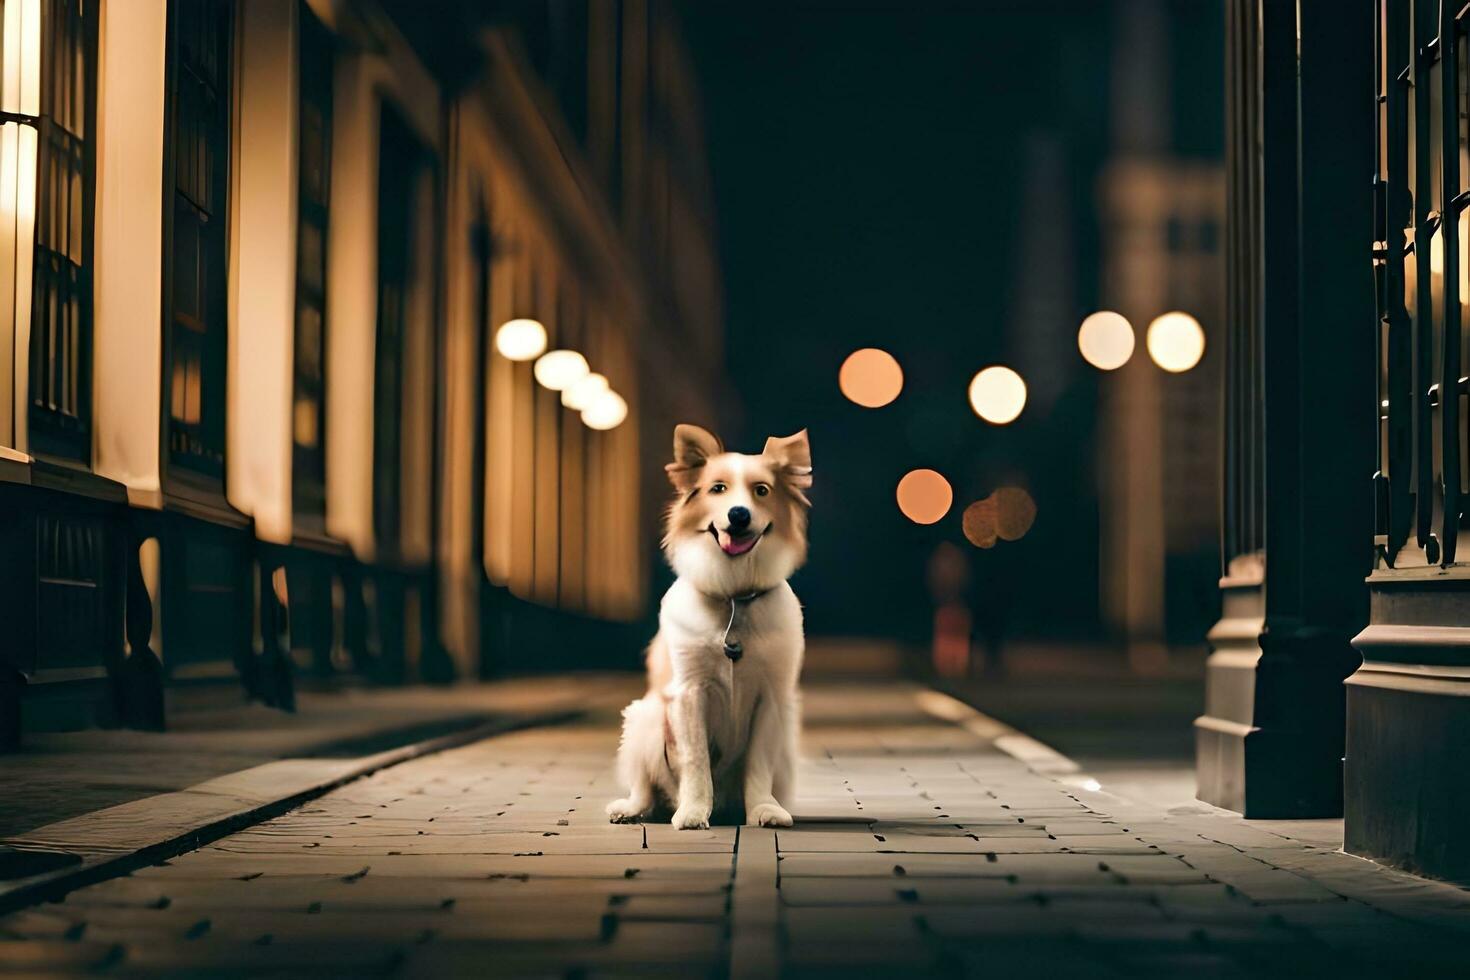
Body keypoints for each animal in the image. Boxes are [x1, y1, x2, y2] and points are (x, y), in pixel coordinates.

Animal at [608, 423, 817, 828]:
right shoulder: (689, 694)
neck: (734, 594)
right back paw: (632, 808)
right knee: (646, 787)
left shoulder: (772, 698)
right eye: (718, 488)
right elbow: (695, 759)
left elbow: (759, 764)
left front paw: (763, 809)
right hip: (646, 715)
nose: (738, 514)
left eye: (762, 490)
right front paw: (692, 812)